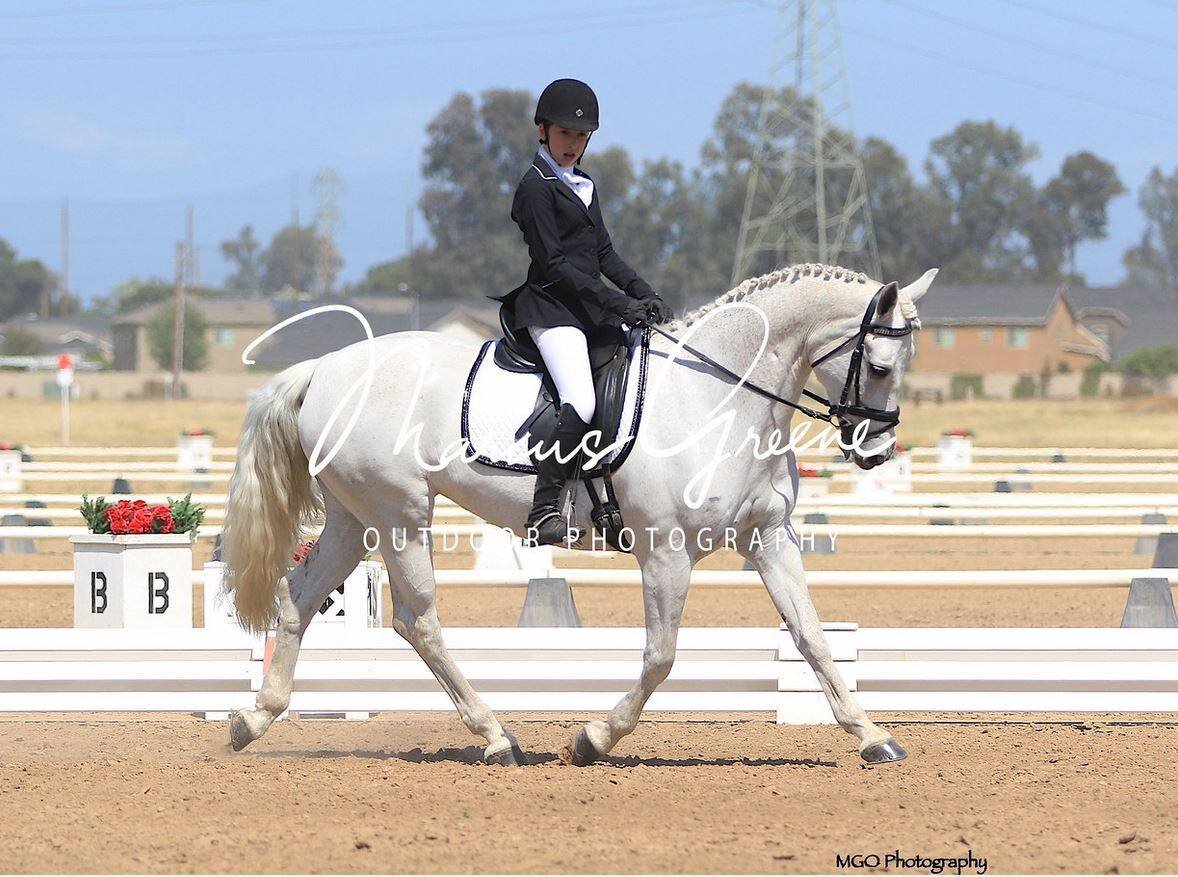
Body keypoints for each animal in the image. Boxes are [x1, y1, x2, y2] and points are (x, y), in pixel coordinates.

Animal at [222, 261, 937, 768]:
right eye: (878, 366)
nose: (875, 451)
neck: (719, 397)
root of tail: (322, 370)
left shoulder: (770, 538)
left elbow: (812, 637)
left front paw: (872, 736)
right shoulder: (667, 552)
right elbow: (661, 656)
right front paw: (593, 739)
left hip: (354, 516)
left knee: (299, 597)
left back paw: (254, 719)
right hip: (398, 512)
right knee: (416, 620)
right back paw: (496, 738)